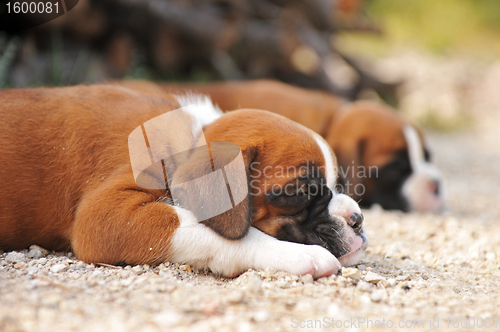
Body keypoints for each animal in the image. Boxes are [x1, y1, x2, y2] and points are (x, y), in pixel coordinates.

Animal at [0, 83, 368, 278]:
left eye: (341, 184)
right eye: (298, 193)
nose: (358, 219)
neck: (190, 142)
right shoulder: (103, 216)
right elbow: (214, 231)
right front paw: (294, 255)